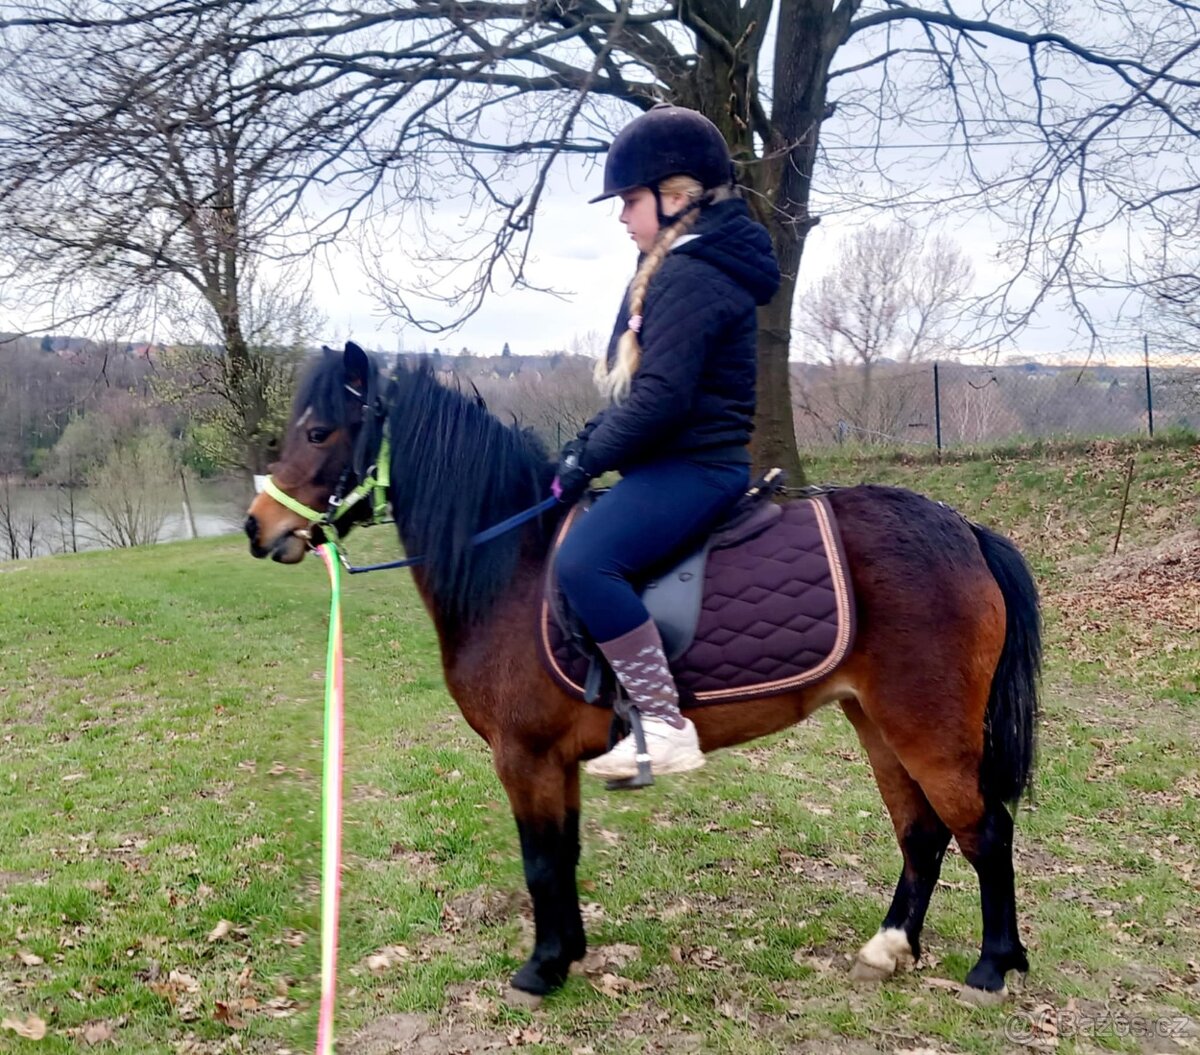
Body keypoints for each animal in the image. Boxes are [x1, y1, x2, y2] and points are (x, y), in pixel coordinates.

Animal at [244, 342, 1041, 1007]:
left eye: (319, 432)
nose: (258, 527)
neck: (514, 565)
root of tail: (966, 533)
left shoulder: (523, 756)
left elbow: (540, 861)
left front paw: (540, 969)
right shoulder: (554, 761)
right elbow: (562, 854)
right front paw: (567, 954)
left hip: (927, 727)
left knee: (984, 831)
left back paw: (994, 965)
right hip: (876, 720)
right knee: (922, 833)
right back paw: (889, 947)